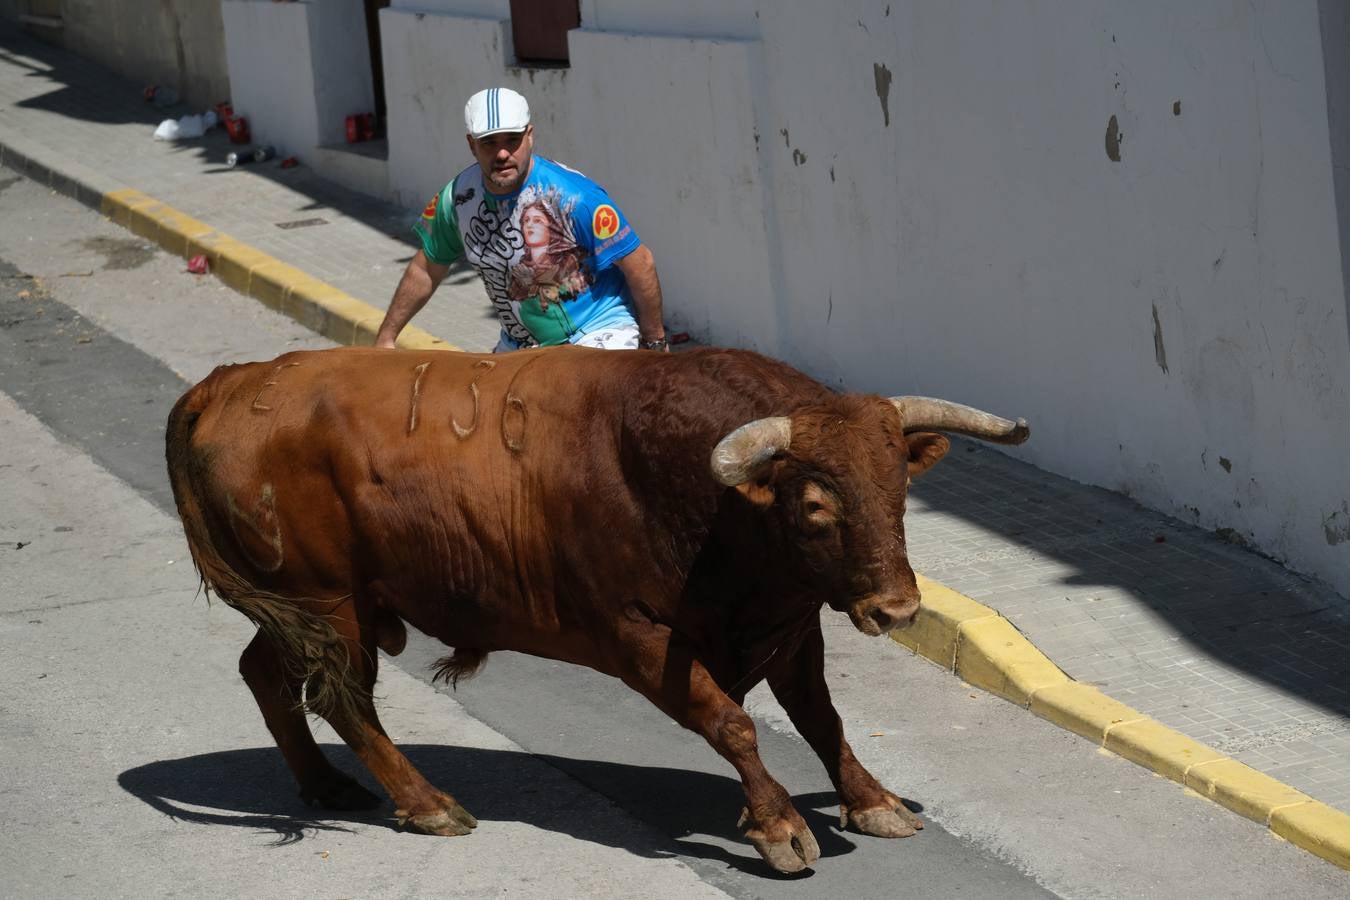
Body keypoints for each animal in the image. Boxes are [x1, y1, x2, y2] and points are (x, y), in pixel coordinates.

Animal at [163, 345, 1026, 874]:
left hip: (301, 610)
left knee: (265, 673)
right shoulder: (640, 640)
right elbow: (733, 725)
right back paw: (427, 804)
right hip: (330, 604)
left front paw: (873, 801)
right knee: (345, 701)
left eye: (899, 489)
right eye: (816, 505)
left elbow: (822, 719)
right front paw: (780, 825)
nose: (896, 607)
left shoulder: (788, 629)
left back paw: (324, 784)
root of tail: (232, 381)